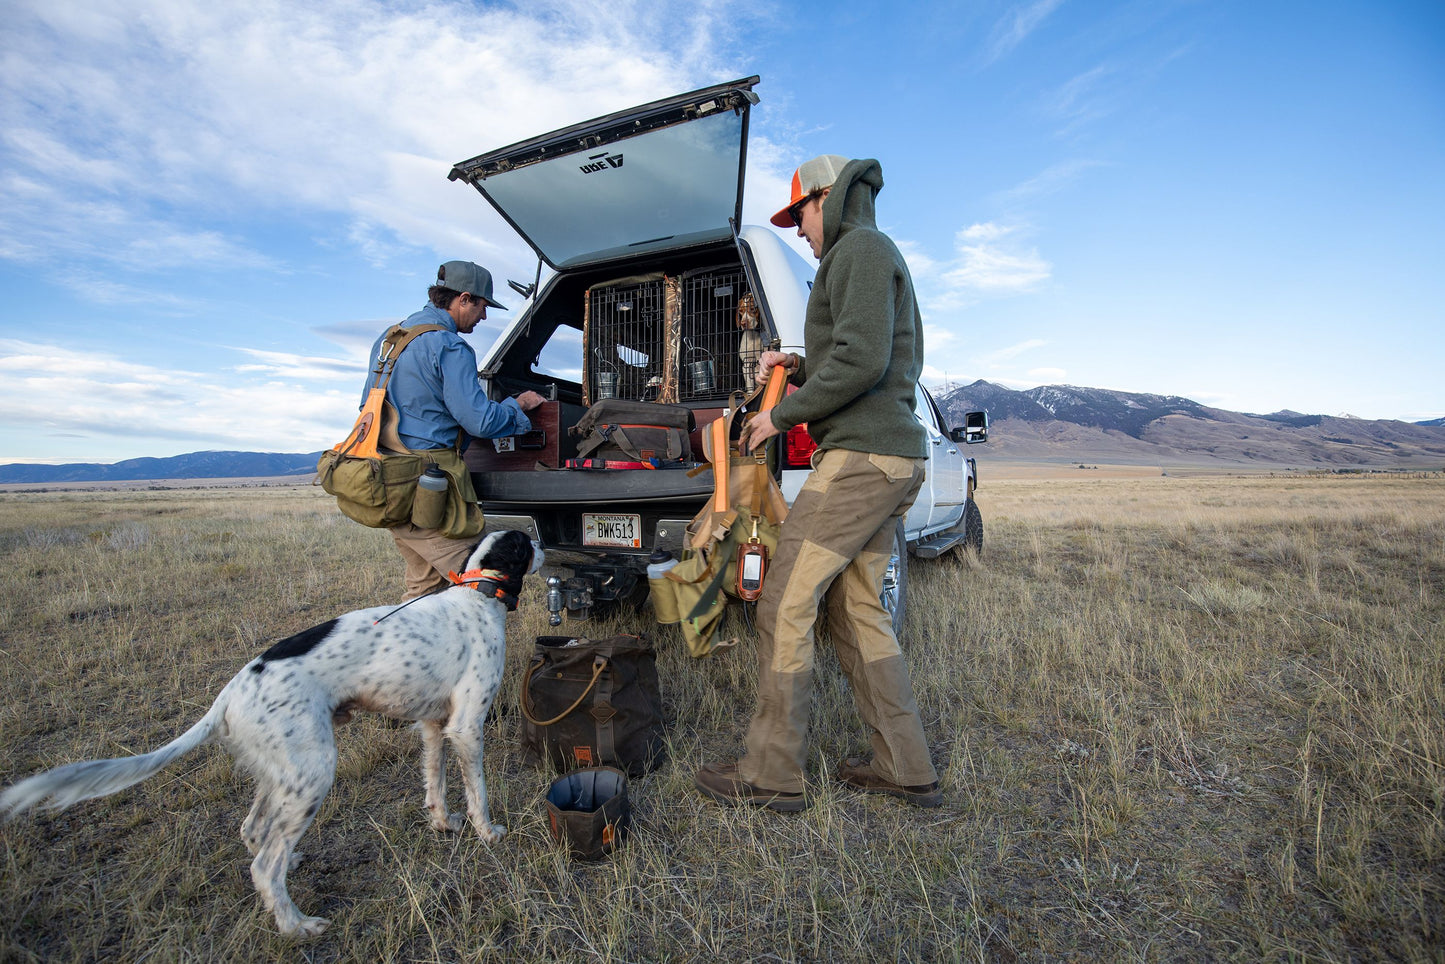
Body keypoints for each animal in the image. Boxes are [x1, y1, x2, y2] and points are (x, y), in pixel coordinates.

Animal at [0, 528, 543, 936]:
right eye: (527, 541)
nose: (543, 546)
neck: (476, 594)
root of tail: (229, 694)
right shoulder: (466, 726)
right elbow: (478, 791)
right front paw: (487, 832)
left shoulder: (433, 724)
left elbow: (435, 784)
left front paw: (443, 824)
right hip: (314, 771)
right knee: (263, 862)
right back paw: (296, 926)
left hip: (284, 771)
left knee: (253, 832)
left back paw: (289, 874)